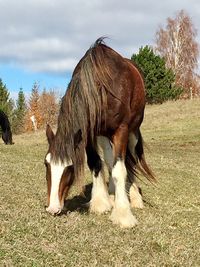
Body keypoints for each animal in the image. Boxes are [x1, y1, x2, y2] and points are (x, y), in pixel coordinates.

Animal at [44, 38, 155, 228]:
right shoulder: (89, 133)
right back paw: (111, 194)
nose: (53, 208)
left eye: (70, 167)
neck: (101, 87)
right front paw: (100, 203)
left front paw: (123, 214)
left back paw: (134, 197)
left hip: (133, 132)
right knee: (110, 160)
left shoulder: (121, 130)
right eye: (46, 164)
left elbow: (120, 170)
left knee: (131, 160)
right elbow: (96, 163)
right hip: (104, 135)